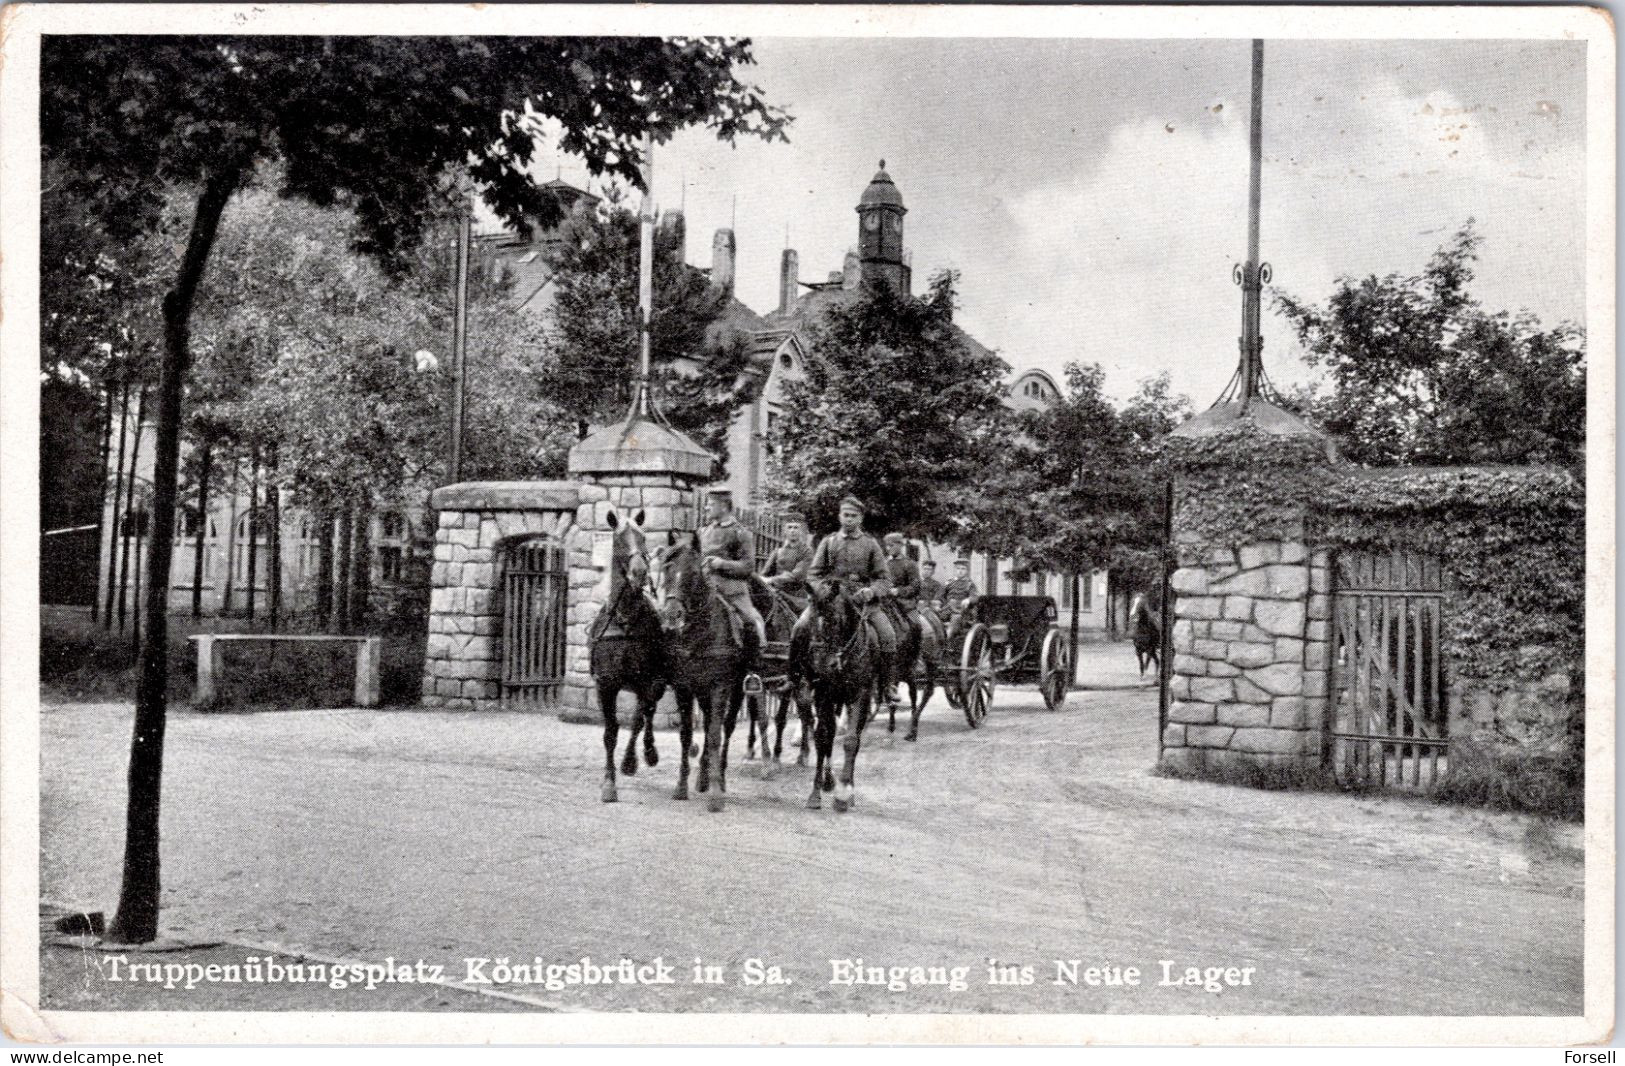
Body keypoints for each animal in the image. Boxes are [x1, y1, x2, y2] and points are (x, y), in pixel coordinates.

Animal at [591, 513, 666, 802]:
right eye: (619, 539)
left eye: (643, 537)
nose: (640, 572)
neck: (624, 621)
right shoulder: (605, 684)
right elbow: (610, 732)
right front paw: (608, 784)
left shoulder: (647, 680)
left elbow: (638, 720)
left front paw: (633, 760)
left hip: (656, 683)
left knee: (647, 714)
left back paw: (644, 754)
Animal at [653, 529, 747, 812]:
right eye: (667, 568)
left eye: (694, 572)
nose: (673, 615)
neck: (698, 635)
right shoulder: (684, 687)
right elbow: (686, 735)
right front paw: (681, 787)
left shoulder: (720, 688)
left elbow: (715, 736)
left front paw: (716, 796)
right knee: (706, 724)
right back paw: (703, 777)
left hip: (736, 690)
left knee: (725, 728)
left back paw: (719, 778)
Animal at [789, 578, 884, 812]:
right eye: (809, 621)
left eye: (833, 620)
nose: (821, 664)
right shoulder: (824, 694)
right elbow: (823, 736)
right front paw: (815, 794)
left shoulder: (861, 694)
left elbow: (851, 741)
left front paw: (843, 794)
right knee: (826, 732)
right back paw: (828, 781)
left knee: (854, 737)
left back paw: (846, 788)